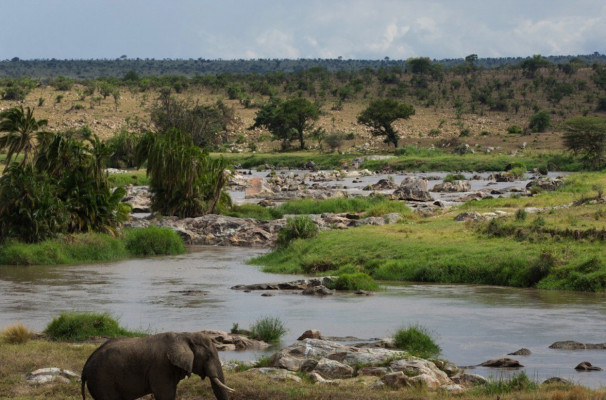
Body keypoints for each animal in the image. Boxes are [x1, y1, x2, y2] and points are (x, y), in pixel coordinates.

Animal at [81, 332, 233, 400]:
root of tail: (85, 367)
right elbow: (165, 395)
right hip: (102, 380)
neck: (184, 335)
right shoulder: (161, 367)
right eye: (208, 357)